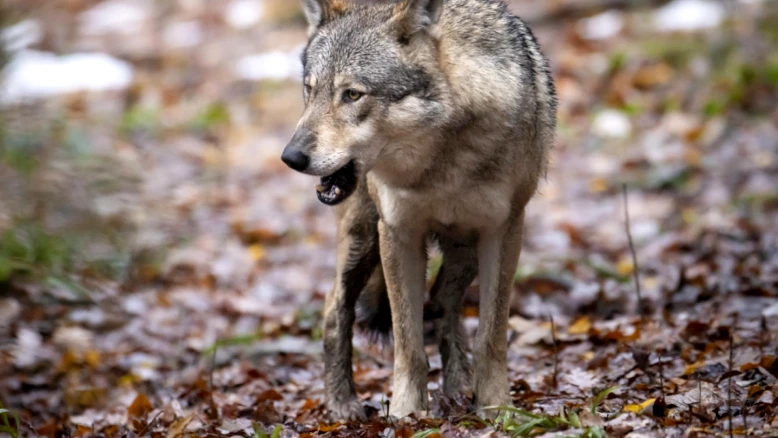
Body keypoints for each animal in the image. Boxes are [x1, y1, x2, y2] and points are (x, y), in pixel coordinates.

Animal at [281, 0, 556, 420]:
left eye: (352, 94)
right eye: (310, 91)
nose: (291, 157)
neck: (441, 163)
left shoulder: (504, 230)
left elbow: (491, 336)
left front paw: (496, 408)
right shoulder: (398, 233)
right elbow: (407, 342)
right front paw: (406, 415)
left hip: (464, 250)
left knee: (443, 302)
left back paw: (458, 386)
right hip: (363, 239)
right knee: (335, 308)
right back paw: (341, 404)